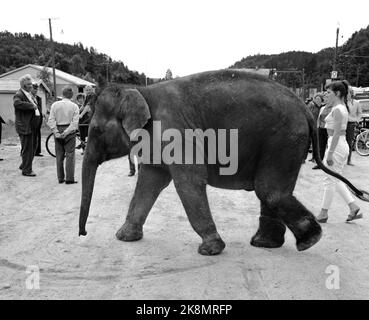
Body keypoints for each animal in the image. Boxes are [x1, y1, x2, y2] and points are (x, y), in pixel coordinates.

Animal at [77, 69, 366, 255]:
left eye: (96, 131)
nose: (83, 234)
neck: (141, 91)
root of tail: (306, 108)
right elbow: (151, 180)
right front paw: (124, 238)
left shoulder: (175, 132)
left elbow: (189, 181)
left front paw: (210, 249)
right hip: (283, 142)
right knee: (271, 190)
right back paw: (266, 244)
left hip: (284, 139)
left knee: (270, 191)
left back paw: (309, 241)